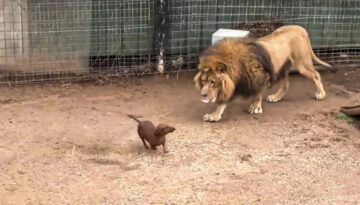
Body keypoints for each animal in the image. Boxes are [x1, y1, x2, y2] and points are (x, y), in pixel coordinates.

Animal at [195, 25, 334, 122]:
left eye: (213, 82)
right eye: (203, 81)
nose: (203, 95)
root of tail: (300, 28)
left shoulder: (260, 76)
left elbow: (257, 94)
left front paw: (255, 107)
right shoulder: (234, 84)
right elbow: (222, 103)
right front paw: (214, 115)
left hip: (302, 64)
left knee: (316, 75)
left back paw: (321, 94)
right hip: (282, 68)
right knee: (286, 85)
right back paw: (276, 97)